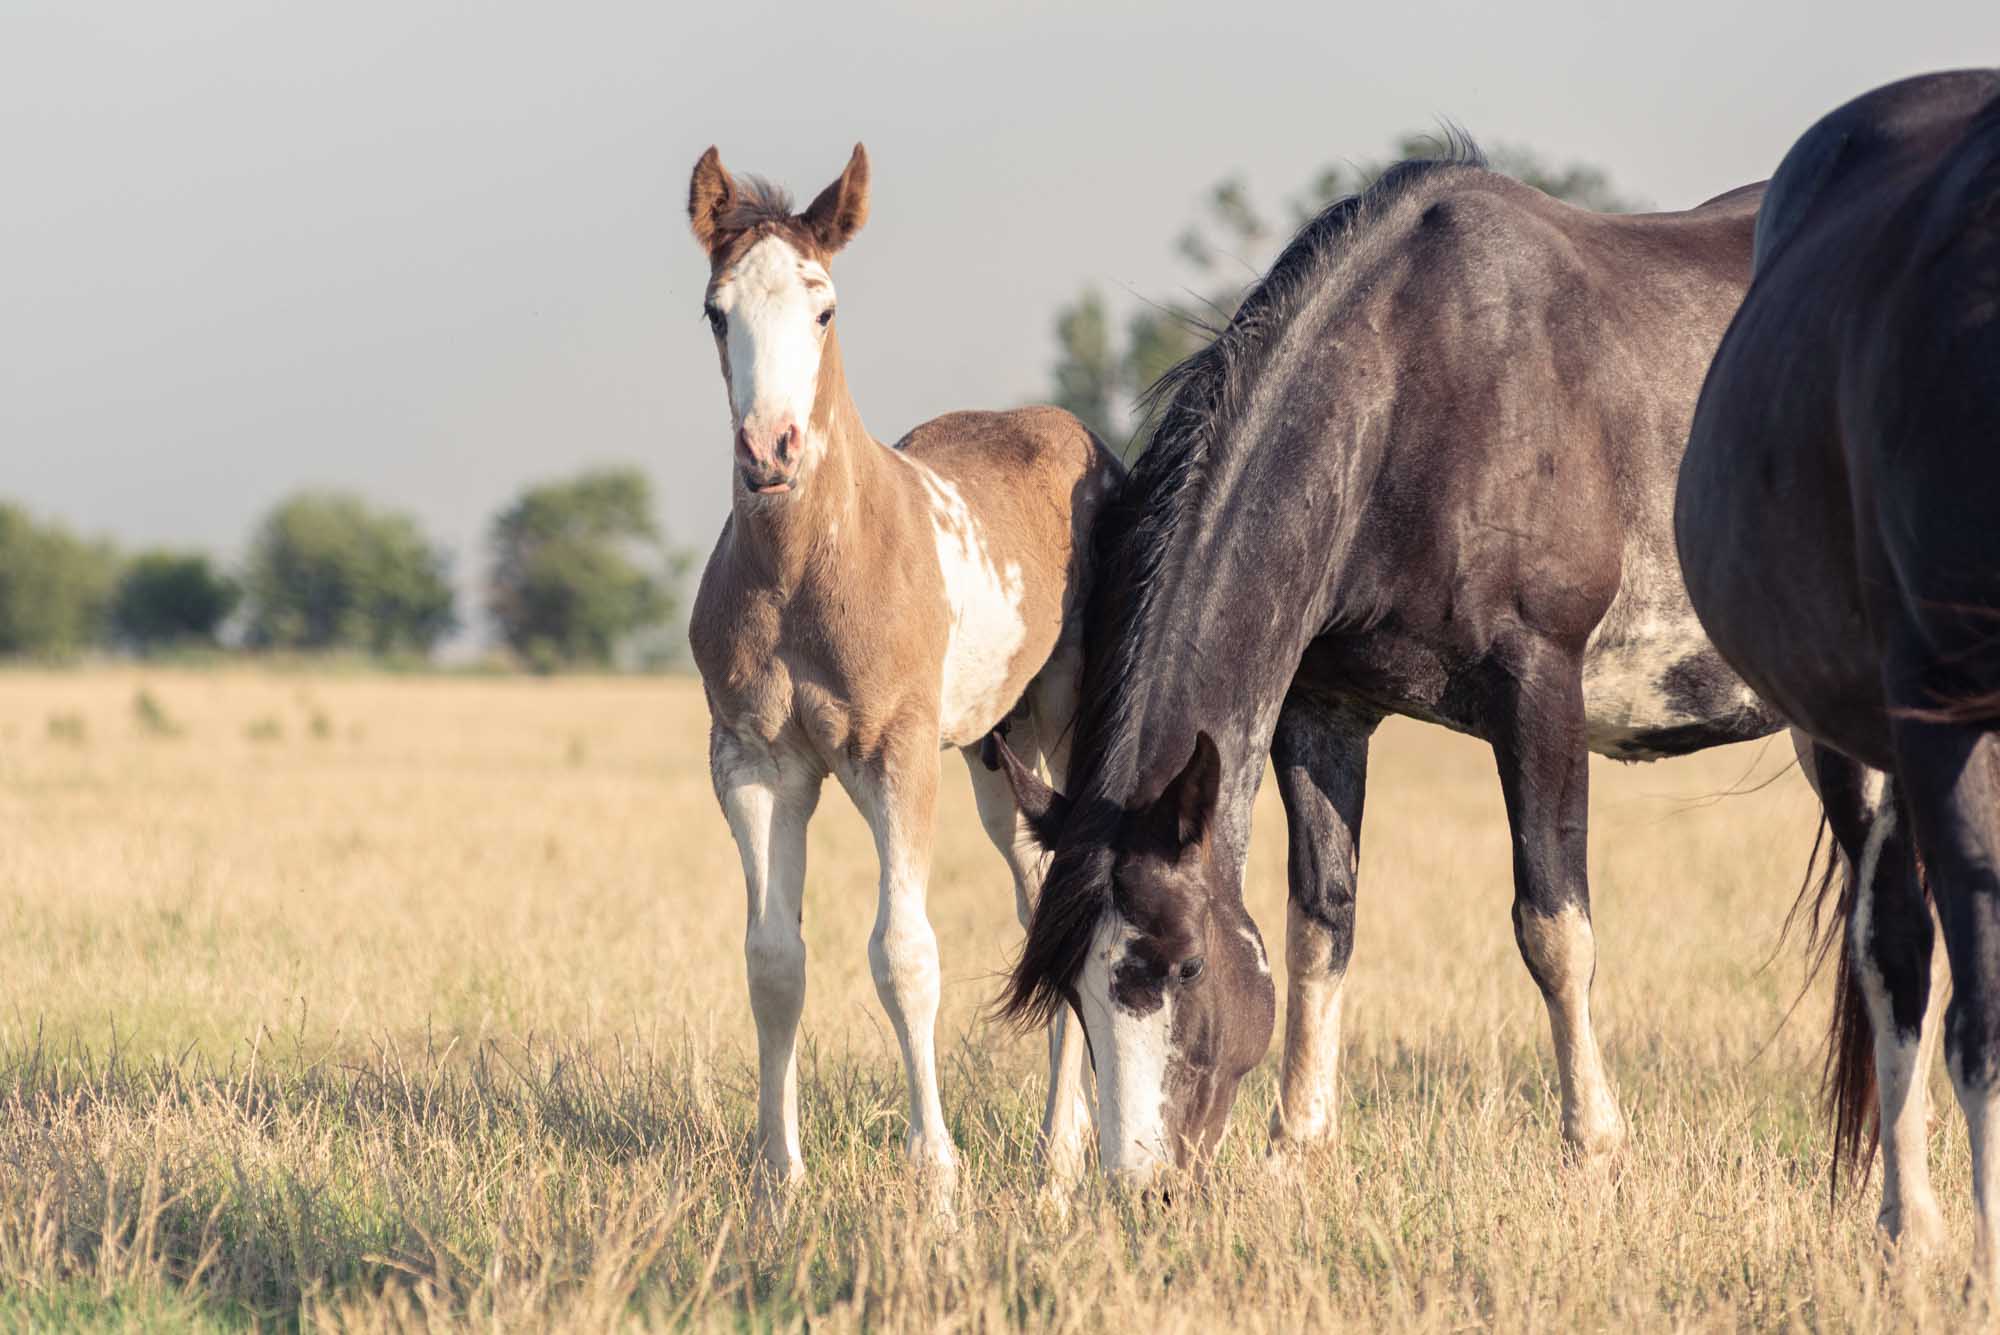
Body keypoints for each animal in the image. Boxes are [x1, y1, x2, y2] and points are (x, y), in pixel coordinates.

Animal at [683, 143, 1121, 1207]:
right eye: (716, 310)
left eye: (824, 306)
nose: (770, 451)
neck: (808, 568)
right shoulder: (752, 762)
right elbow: (774, 960)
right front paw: (778, 1177)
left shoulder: (899, 754)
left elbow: (904, 952)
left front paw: (937, 1176)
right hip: (998, 756)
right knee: (1042, 894)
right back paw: (1065, 1144)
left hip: (1062, 728)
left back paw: (1058, 1159)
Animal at [982, 139, 1875, 1183]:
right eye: (1078, 995)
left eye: (1186, 963)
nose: (1144, 1186)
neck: (1416, 396)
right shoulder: (1322, 710)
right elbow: (1319, 922)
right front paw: (1296, 1146)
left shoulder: (1541, 688)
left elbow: (1553, 926)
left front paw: (1595, 1144)